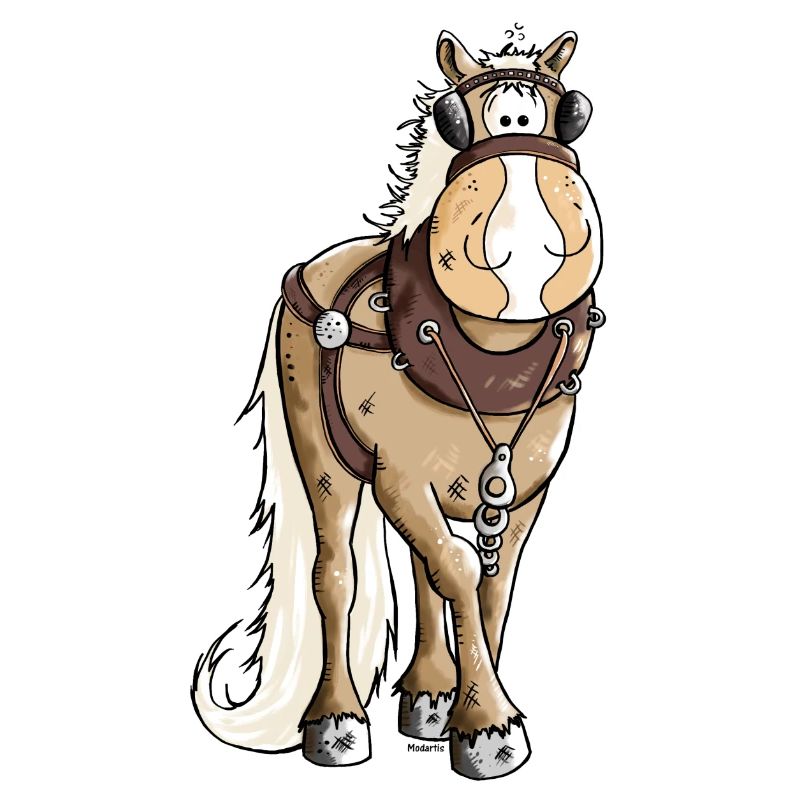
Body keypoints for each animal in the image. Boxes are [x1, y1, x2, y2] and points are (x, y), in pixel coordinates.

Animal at [192, 28, 603, 780]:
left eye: (573, 116)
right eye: (452, 119)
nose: (529, 252)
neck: (487, 356)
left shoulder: (524, 492)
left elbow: (490, 590)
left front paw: (477, 711)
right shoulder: (402, 479)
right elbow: (462, 571)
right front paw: (489, 725)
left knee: (421, 572)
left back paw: (430, 694)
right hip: (327, 460)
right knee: (337, 575)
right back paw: (337, 721)